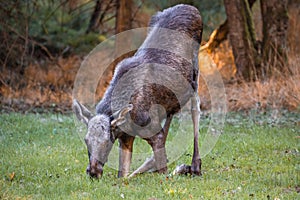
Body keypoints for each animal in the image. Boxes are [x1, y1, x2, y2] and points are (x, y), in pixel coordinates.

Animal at [73, 3, 204, 177]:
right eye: (86, 140)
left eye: (107, 141)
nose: (93, 171)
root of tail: (191, 8)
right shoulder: (126, 137)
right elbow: (123, 175)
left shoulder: (152, 131)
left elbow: (163, 172)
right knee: (171, 113)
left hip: (195, 77)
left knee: (195, 108)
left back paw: (194, 166)